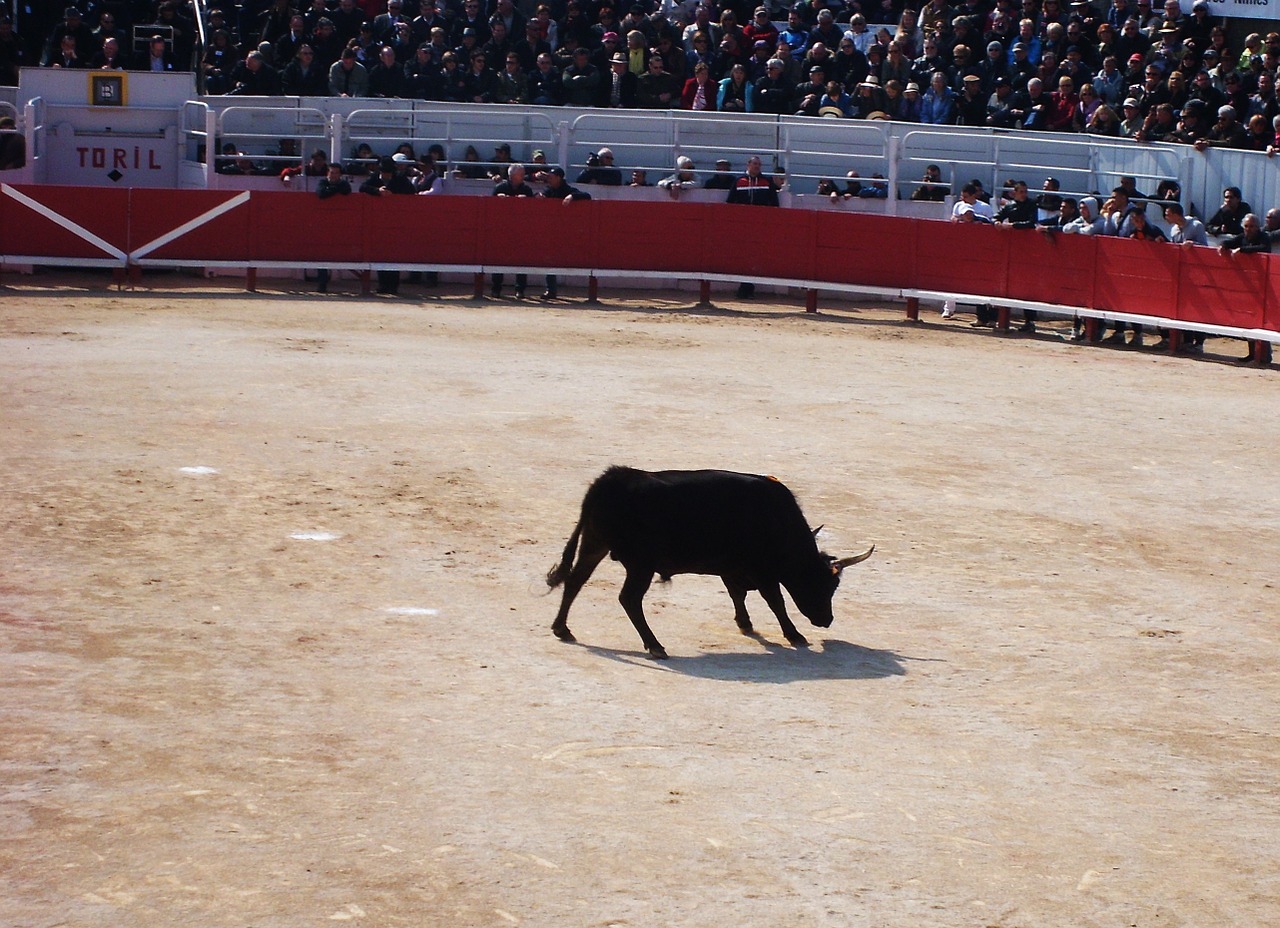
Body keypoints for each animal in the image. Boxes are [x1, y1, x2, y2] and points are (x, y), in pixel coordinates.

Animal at [545, 465, 875, 655]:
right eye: (825, 585)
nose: (826, 620)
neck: (779, 520)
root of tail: (611, 478)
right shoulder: (761, 570)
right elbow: (775, 600)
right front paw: (794, 635)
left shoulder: (733, 568)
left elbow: (737, 594)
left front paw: (745, 624)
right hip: (640, 564)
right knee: (628, 599)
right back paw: (655, 646)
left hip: (594, 544)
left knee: (575, 581)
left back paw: (562, 629)